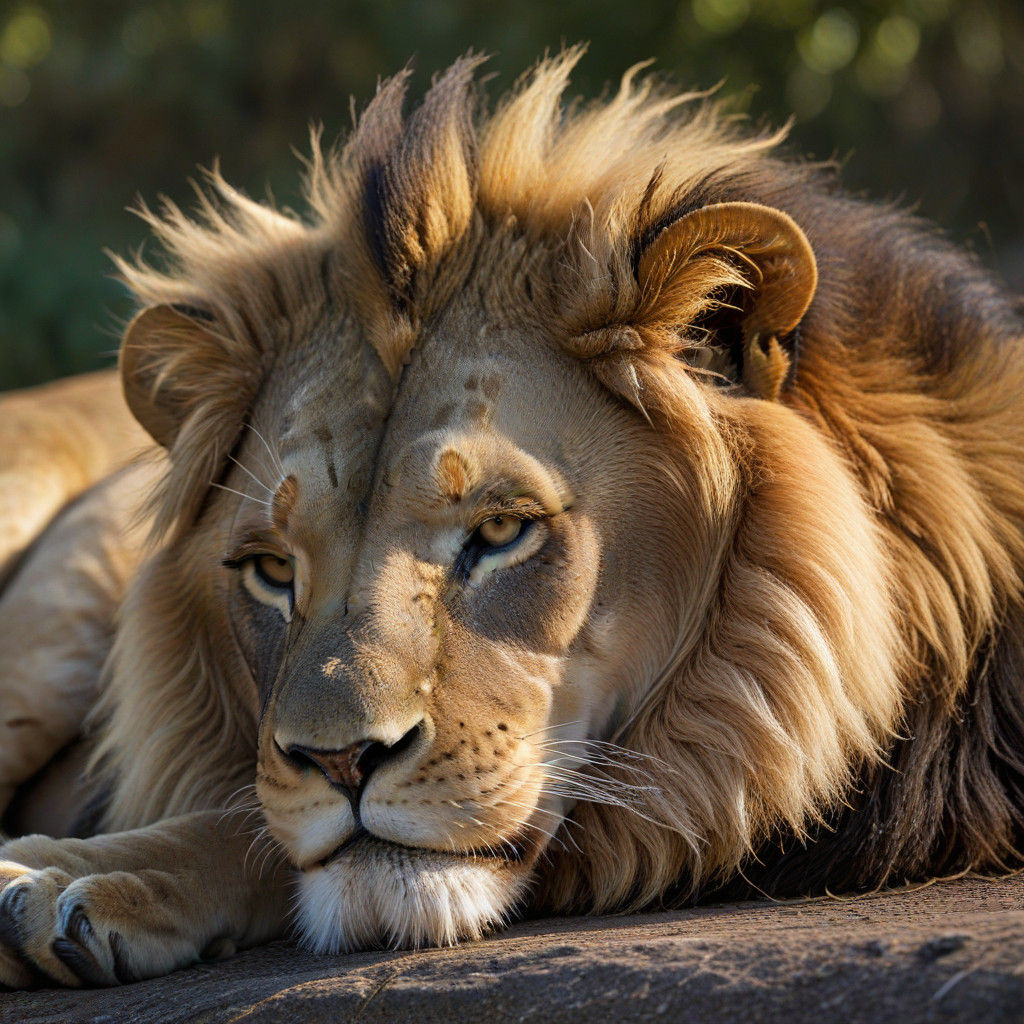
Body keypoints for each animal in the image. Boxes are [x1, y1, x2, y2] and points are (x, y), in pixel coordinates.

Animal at [1, 49, 1023, 988]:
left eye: (500, 532)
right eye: (271, 569)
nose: (343, 762)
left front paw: (72, 879)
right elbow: (248, 817)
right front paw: (71, 872)